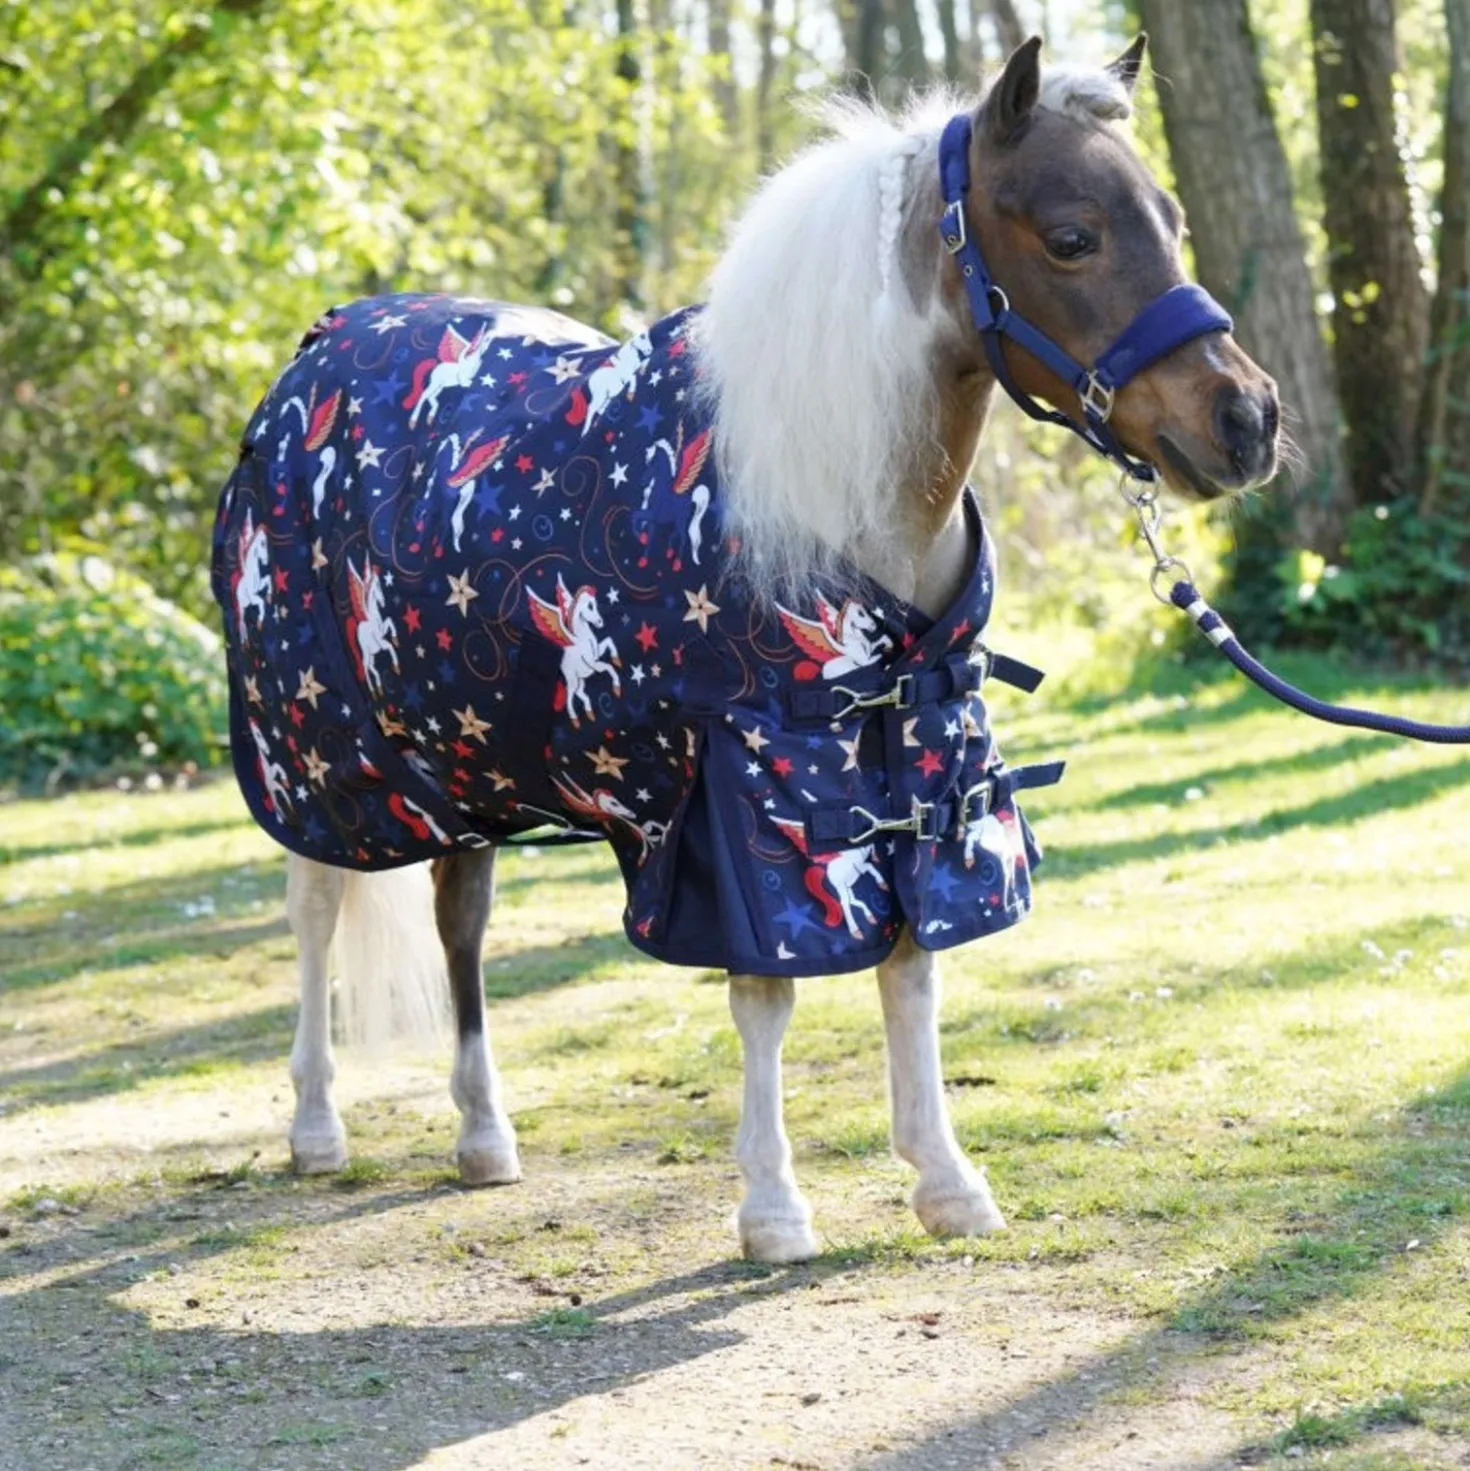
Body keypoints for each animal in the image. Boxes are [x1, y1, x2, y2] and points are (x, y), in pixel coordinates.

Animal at [219, 37, 1279, 1264]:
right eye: (1072, 236)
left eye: (1170, 216)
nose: (1248, 420)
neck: (828, 490)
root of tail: (316, 354)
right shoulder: (748, 784)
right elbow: (766, 991)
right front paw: (773, 1208)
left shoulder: (910, 750)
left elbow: (913, 962)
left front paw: (945, 1179)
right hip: (322, 753)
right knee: (314, 909)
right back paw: (316, 1126)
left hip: (455, 755)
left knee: (460, 917)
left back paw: (484, 1134)